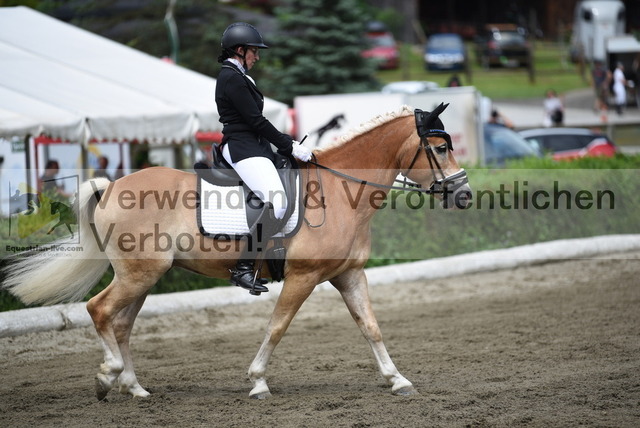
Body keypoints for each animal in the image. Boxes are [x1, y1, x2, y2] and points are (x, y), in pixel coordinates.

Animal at [0, 104, 470, 402]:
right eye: (440, 148)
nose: (464, 195)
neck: (340, 189)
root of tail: (111, 185)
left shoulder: (349, 274)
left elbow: (371, 327)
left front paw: (397, 379)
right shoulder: (303, 277)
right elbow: (277, 327)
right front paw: (258, 382)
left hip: (144, 277)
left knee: (122, 324)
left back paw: (134, 387)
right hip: (138, 274)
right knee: (99, 311)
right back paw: (107, 377)